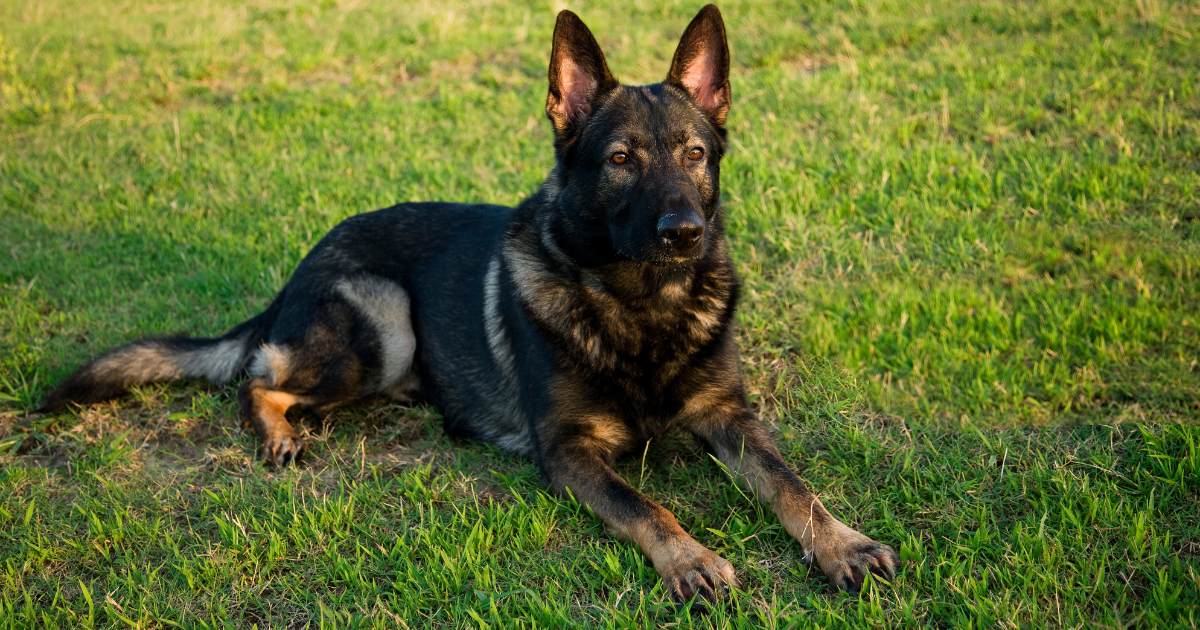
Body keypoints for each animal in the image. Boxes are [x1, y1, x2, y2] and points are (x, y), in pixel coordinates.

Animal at [39, 4, 902, 604]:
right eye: (621, 160)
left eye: (695, 154)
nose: (684, 231)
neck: (640, 307)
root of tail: (304, 261)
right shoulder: (569, 453)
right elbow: (647, 505)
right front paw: (691, 559)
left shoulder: (730, 417)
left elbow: (791, 483)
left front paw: (842, 543)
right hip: (383, 321)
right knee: (258, 377)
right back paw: (280, 435)